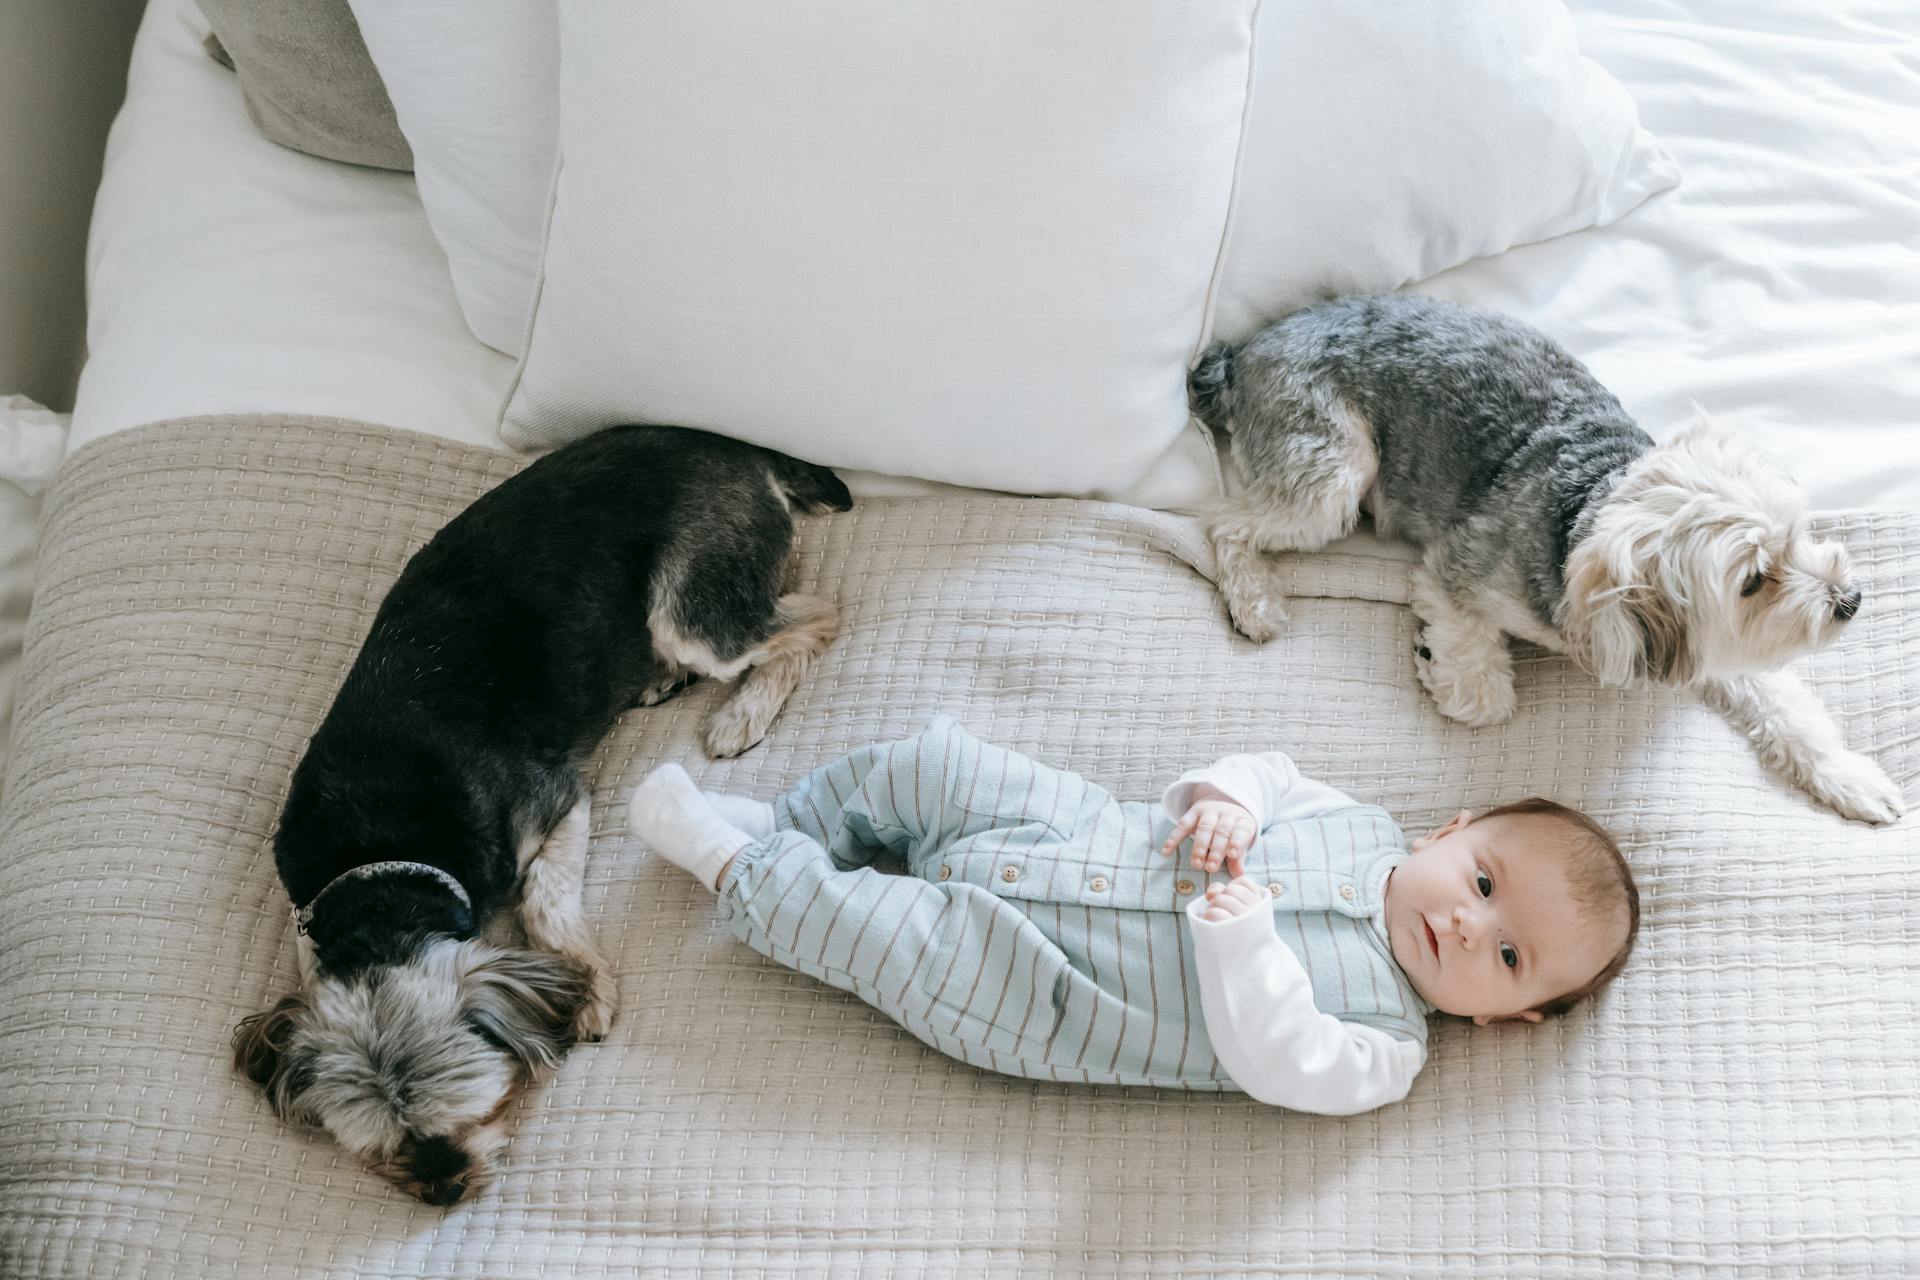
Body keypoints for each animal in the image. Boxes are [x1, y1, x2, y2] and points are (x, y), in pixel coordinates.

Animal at [232, 426, 848, 1205]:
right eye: (381, 1151)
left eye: (483, 1109)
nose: (444, 1187)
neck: (378, 856)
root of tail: (739, 448)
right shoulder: (306, 904)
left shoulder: (557, 804)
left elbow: (546, 904)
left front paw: (586, 987)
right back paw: (662, 679)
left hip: (694, 607)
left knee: (813, 615)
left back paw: (743, 711)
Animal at [1198, 295, 1904, 825]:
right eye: (1753, 581)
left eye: (1802, 531)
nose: (1850, 600)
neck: (1586, 513)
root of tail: (1244, 352)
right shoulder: (1455, 571)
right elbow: (1485, 698)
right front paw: (1435, 663)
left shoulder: (1713, 646)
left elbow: (1789, 706)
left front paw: (1848, 777)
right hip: (1333, 473)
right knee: (1223, 523)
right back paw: (1255, 602)